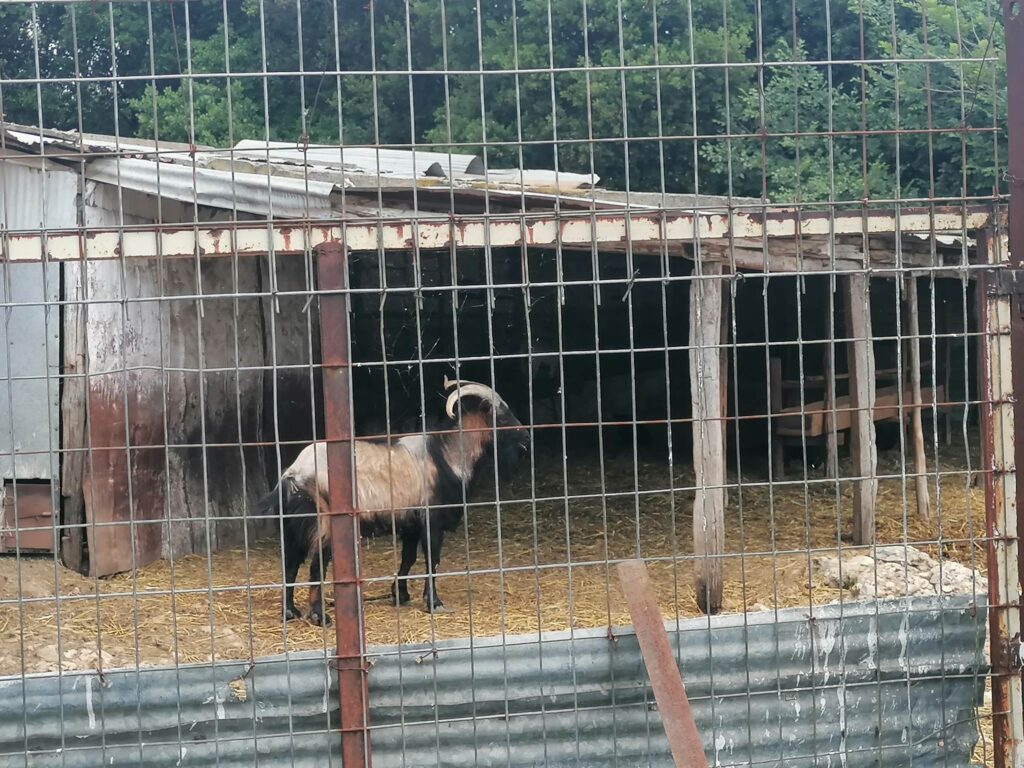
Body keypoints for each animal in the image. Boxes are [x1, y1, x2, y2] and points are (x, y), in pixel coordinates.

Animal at [256, 376, 528, 626]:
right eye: (502, 417)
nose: (525, 437)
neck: (445, 456)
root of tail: (292, 475)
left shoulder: (411, 523)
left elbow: (408, 558)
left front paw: (401, 594)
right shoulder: (431, 518)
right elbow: (432, 559)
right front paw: (434, 603)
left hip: (292, 527)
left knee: (290, 565)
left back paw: (290, 612)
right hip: (324, 524)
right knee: (316, 566)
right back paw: (319, 616)